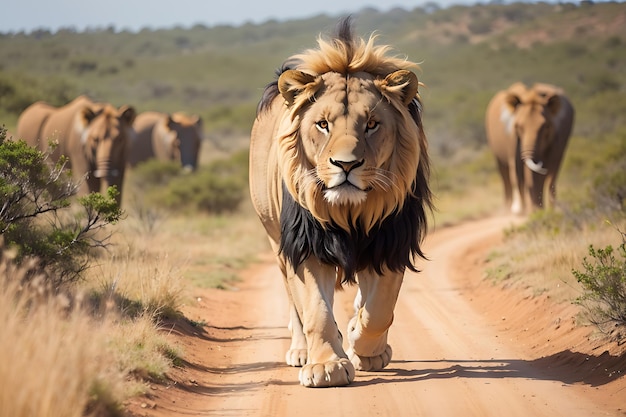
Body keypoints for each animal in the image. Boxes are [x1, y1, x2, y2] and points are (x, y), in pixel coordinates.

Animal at [247, 17, 428, 386]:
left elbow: (379, 310)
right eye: (322, 124)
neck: (351, 210)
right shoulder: (305, 244)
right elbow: (315, 309)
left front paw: (362, 342)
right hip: (276, 238)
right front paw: (327, 366)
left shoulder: (390, 240)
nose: (346, 165)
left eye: (371, 124)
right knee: (295, 304)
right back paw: (302, 352)